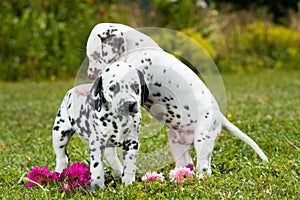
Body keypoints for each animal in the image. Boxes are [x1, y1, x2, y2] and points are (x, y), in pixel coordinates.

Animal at [53, 61, 149, 189]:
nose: (130, 104)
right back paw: (58, 174)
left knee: (112, 157)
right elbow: (97, 166)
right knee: (62, 157)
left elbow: (129, 164)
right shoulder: (97, 143)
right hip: (59, 134)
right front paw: (98, 186)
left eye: (136, 87)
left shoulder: (132, 142)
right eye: (113, 87)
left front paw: (128, 182)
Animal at [85, 22, 268, 177]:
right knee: (185, 163)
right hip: (176, 142)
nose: (90, 75)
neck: (138, 49)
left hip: (203, 139)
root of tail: (220, 116)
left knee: (204, 168)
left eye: (95, 55)